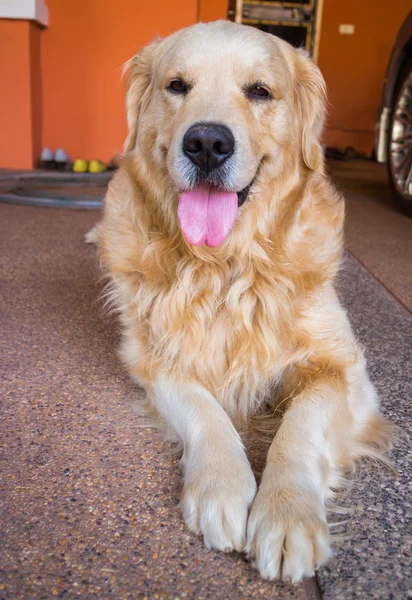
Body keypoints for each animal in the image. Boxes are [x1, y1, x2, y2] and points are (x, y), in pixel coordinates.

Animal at [96, 19, 390, 580]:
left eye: (259, 91)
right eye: (177, 85)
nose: (207, 142)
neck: (225, 266)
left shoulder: (343, 370)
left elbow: (301, 425)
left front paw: (289, 511)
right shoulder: (155, 360)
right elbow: (204, 409)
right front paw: (223, 485)